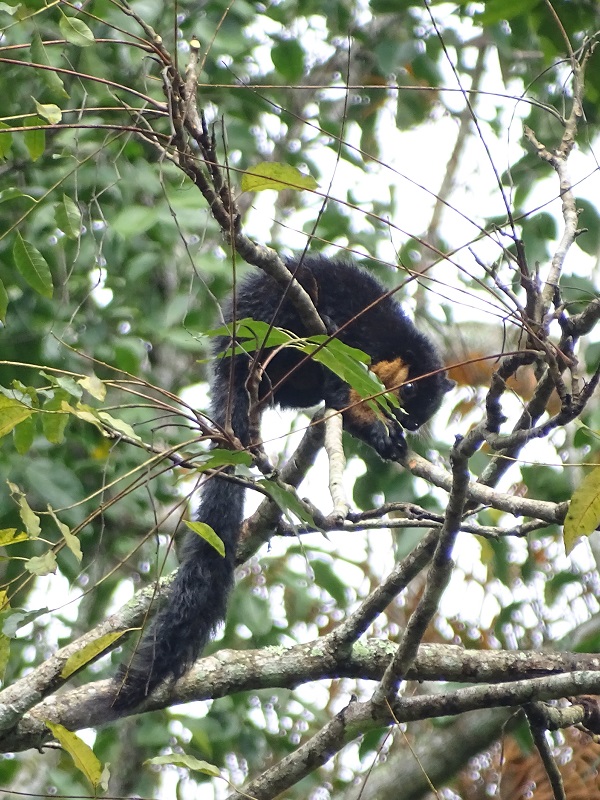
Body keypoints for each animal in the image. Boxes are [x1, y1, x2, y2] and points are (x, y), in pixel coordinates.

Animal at [110, 255, 454, 710]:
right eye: (412, 389)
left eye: (428, 408)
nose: (410, 422)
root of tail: (230, 363)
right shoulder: (355, 348)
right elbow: (345, 399)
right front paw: (382, 434)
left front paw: (391, 440)